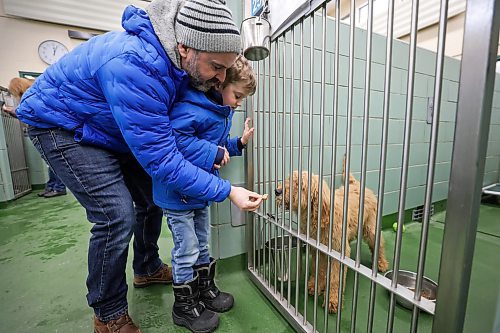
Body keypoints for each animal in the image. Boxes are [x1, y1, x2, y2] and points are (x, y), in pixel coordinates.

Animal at [276, 162, 388, 312]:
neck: (319, 217)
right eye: (288, 179)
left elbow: (335, 279)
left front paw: (332, 299)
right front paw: (315, 286)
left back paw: (381, 263)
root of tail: (356, 183)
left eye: (299, 184)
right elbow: (318, 270)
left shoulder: (338, 252)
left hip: (371, 229)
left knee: (379, 245)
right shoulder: (317, 249)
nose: (277, 191)